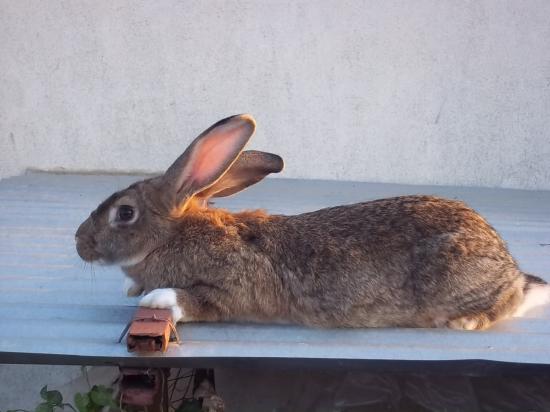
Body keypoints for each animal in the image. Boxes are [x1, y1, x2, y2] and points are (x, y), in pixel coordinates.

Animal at [74, 114, 550, 330]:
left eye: (124, 212)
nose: (79, 243)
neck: (172, 236)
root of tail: (509, 266)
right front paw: (132, 287)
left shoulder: (231, 288)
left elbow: (195, 301)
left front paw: (155, 299)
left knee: (505, 302)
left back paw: (466, 322)